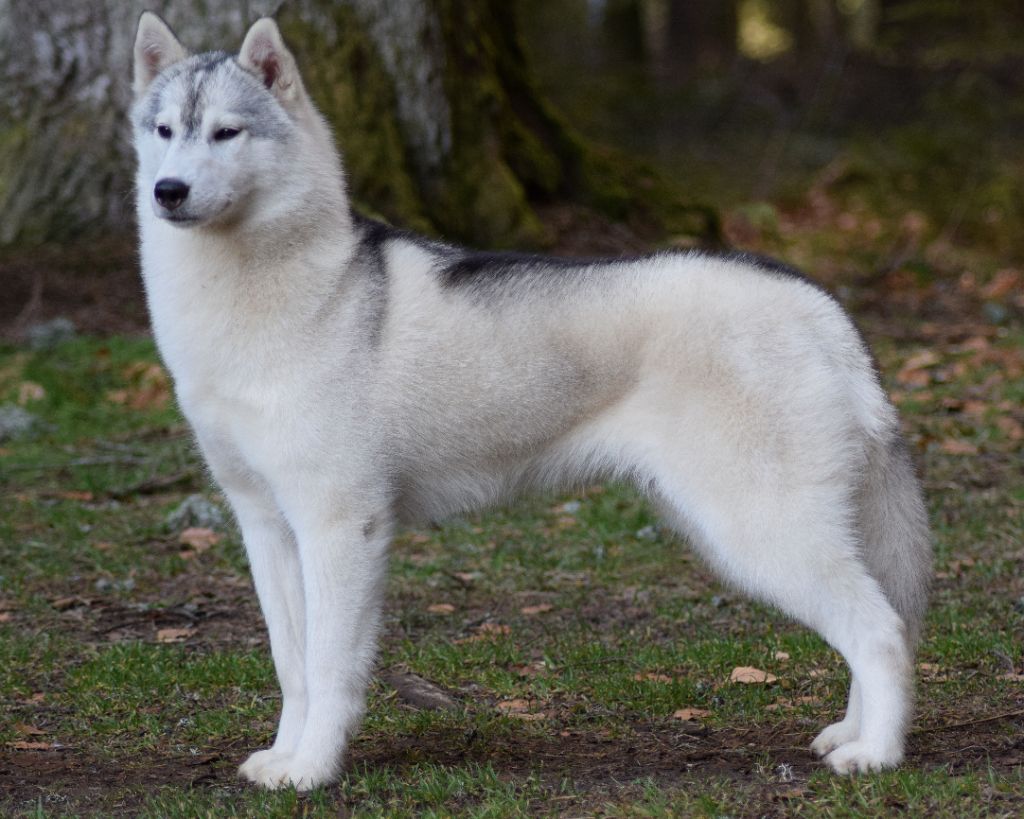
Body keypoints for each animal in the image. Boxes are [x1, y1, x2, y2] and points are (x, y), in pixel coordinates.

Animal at [131, 12, 932, 790]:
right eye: (163, 130)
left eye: (226, 132)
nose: (167, 191)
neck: (253, 294)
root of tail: (817, 303)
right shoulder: (267, 526)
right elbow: (292, 666)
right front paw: (284, 757)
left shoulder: (339, 524)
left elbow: (329, 669)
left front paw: (315, 769)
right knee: (872, 625)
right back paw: (851, 734)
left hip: (759, 531)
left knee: (881, 631)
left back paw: (876, 755)